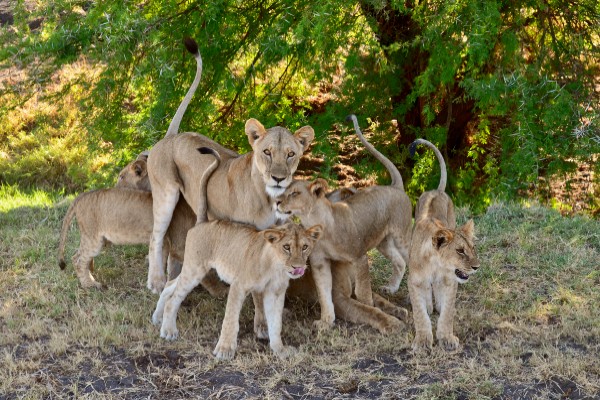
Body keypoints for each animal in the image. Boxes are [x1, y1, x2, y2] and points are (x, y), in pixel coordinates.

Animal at [146, 38, 314, 294]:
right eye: (267, 152)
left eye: (291, 154)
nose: (278, 178)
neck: (269, 197)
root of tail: (171, 137)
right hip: (166, 195)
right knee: (155, 237)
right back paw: (156, 281)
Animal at [152, 148, 326, 360]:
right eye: (286, 247)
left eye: (305, 247)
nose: (298, 267)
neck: (275, 267)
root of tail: (203, 222)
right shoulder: (238, 286)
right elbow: (231, 320)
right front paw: (224, 350)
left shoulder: (275, 293)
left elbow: (275, 324)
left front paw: (280, 350)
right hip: (195, 269)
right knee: (174, 298)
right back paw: (169, 330)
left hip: (192, 268)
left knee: (170, 286)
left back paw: (158, 319)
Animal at [276, 115, 412, 328]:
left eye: (295, 193)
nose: (277, 201)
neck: (319, 224)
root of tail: (395, 186)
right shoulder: (321, 265)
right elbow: (326, 295)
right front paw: (326, 322)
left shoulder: (359, 258)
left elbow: (367, 299)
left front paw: (393, 316)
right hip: (383, 242)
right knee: (399, 262)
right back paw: (391, 288)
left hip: (401, 237)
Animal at [406, 139, 480, 352]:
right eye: (460, 251)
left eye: (472, 249)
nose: (476, 267)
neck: (436, 265)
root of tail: (436, 190)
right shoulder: (414, 282)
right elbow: (419, 313)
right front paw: (423, 340)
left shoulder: (450, 282)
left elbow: (448, 312)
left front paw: (446, 338)